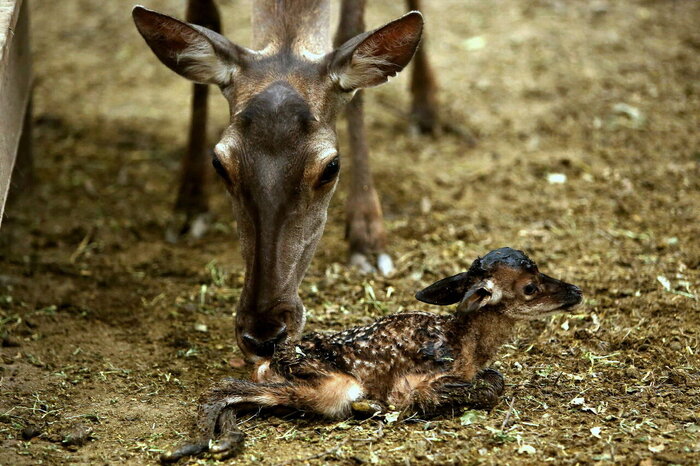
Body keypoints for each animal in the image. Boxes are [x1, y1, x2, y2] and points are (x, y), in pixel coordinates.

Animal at [133, 0, 438, 360]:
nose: (263, 335)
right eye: (219, 163)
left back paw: (427, 109)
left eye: (331, 167)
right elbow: (202, 17)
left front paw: (368, 239)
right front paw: (189, 207)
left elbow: (350, 30)